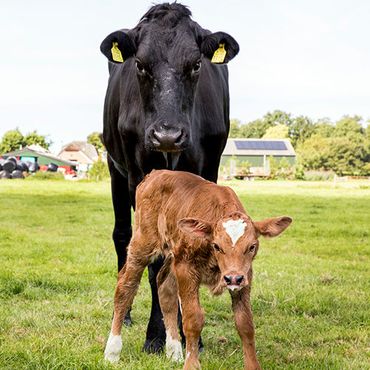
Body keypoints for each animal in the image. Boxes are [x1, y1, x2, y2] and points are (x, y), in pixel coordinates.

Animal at [100, 2, 240, 352]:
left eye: (196, 64)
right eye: (140, 64)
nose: (167, 135)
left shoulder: (207, 170)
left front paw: (191, 337)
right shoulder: (139, 175)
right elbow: (154, 262)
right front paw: (155, 335)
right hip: (115, 169)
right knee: (123, 237)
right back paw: (127, 315)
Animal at [104, 170, 292, 368]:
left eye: (252, 246)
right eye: (217, 246)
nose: (232, 278)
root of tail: (155, 173)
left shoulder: (245, 275)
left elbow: (245, 323)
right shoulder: (186, 268)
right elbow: (193, 318)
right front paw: (191, 364)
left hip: (174, 255)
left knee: (165, 288)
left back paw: (174, 352)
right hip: (143, 243)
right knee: (125, 287)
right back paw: (112, 352)